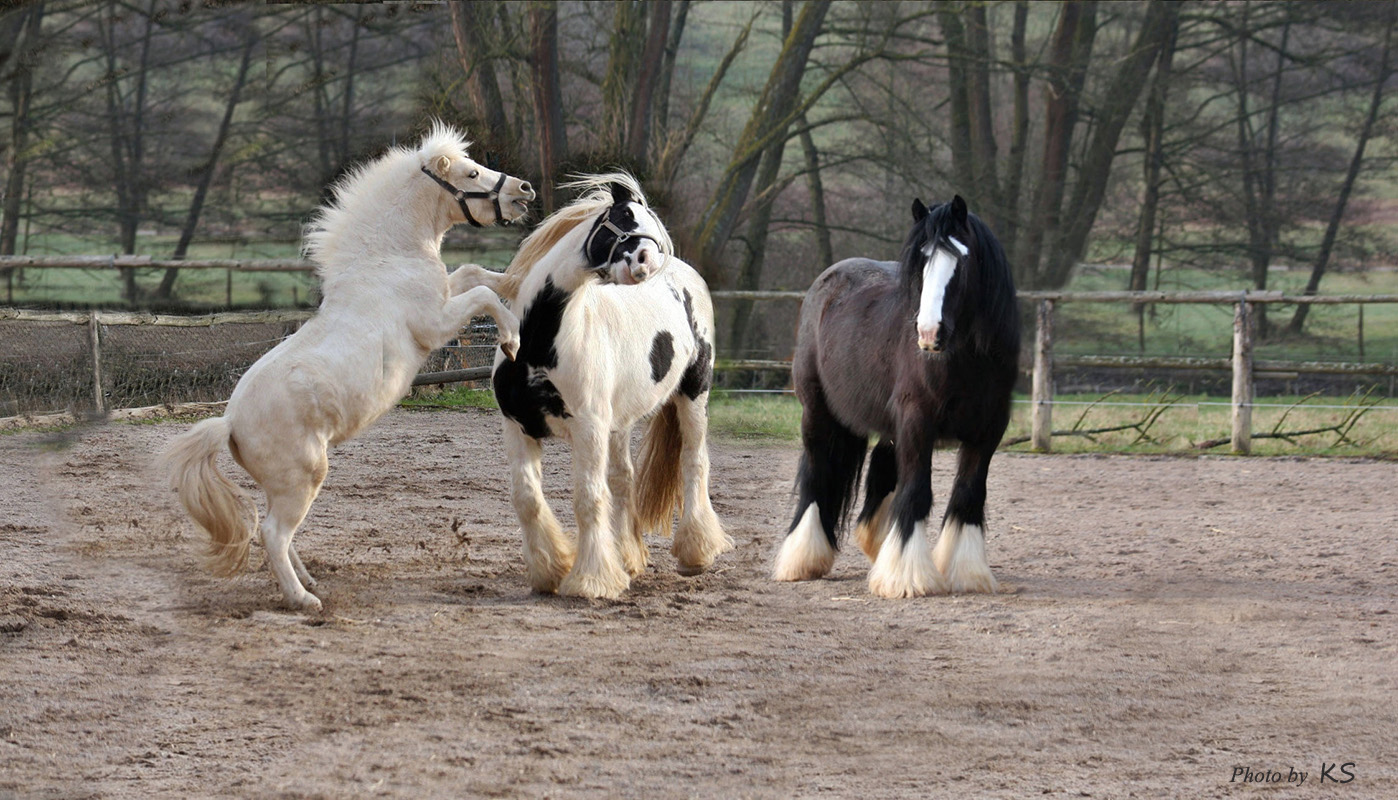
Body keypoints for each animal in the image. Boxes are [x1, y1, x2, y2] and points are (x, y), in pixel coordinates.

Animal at [160, 126, 531, 612]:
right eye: (471, 173)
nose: (525, 191)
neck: (388, 260)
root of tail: (229, 422)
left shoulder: (446, 295)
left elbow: (474, 273)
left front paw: (512, 280)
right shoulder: (435, 324)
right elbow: (484, 295)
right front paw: (510, 339)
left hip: (283, 485)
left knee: (276, 531)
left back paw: (309, 581)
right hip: (303, 477)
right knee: (273, 533)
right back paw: (302, 600)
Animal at [455, 174, 738, 598]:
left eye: (654, 231)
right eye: (623, 215)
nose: (646, 261)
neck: (543, 341)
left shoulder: (588, 427)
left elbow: (588, 497)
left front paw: (592, 580)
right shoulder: (517, 426)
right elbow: (527, 499)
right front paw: (550, 570)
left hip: (693, 395)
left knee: (694, 463)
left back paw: (697, 551)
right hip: (618, 423)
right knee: (624, 480)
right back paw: (629, 557)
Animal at [777, 197, 1017, 595]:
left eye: (962, 261)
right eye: (921, 261)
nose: (929, 333)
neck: (967, 361)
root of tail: (828, 280)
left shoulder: (988, 431)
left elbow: (969, 492)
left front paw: (966, 572)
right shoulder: (917, 419)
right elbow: (917, 489)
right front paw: (907, 577)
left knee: (881, 467)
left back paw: (874, 543)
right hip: (817, 412)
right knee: (816, 472)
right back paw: (802, 559)